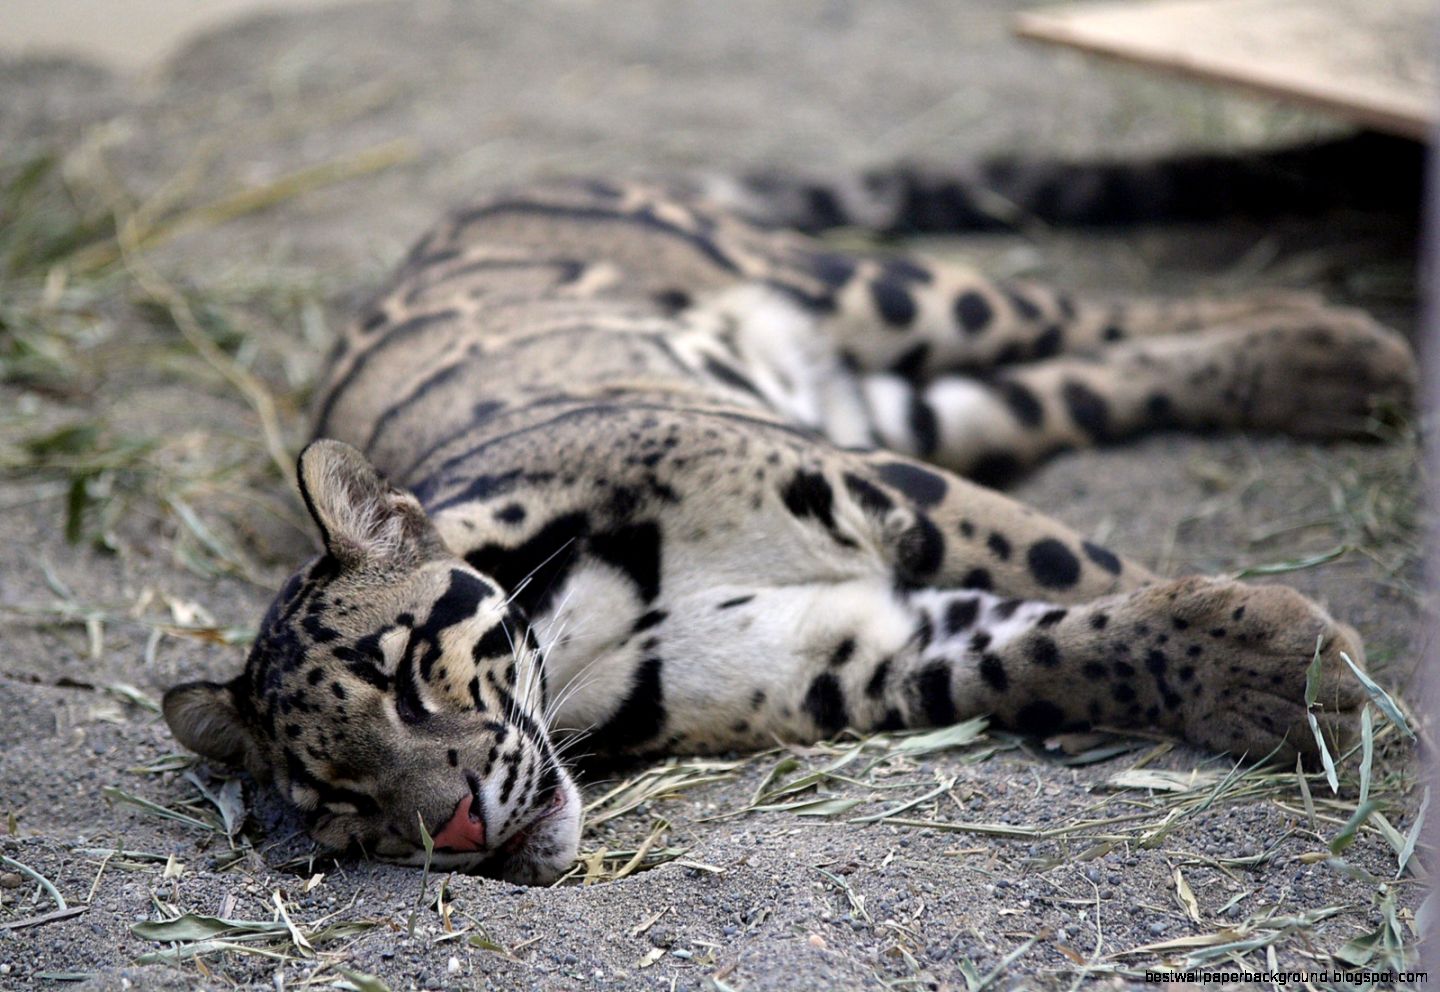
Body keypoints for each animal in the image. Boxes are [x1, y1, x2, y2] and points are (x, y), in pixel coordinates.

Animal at [162, 174, 1414, 885]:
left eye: (411, 674)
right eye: (341, 801)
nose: (460, 832)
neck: (589, 638)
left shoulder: (874, 487)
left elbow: (1082, 563)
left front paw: (1325, 679)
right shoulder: (853, 652)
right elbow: (1059, 647)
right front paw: (1273, 675)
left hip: (884, 294)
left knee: (1102, 312)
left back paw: (1333, 345)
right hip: (909, 401)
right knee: (1075, 383)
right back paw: (1328, 370)